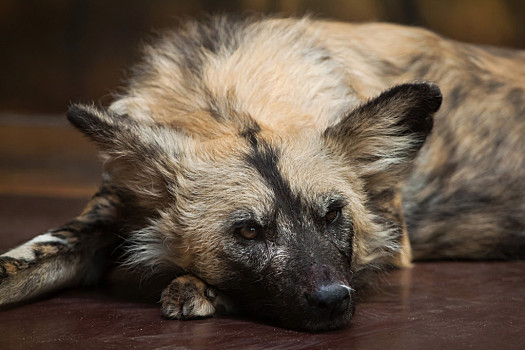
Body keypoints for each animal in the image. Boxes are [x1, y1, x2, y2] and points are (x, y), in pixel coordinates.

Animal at [1, 15, 524, 330]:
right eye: (250, 231)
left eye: (333, 215)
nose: (333, 300)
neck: (230, 103)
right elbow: (20, 264)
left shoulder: (393, 248)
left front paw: (193, 289)